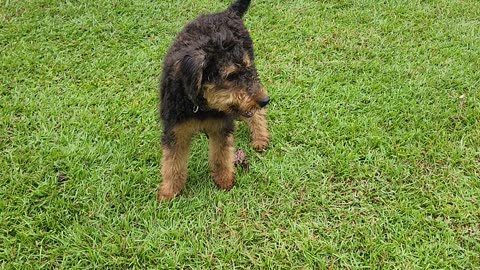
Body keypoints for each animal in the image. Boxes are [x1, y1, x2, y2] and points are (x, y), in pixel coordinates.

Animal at [158, 0, 268, 200]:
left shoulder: (220, 127)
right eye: (231, 76)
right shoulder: (175, 131)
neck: (200, 106)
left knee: (256, 114)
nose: (265, 100)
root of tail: (228, 12)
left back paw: (260, 138)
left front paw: (224, 181)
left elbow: (221, 157)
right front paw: (169, 191)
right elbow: (172, 164)